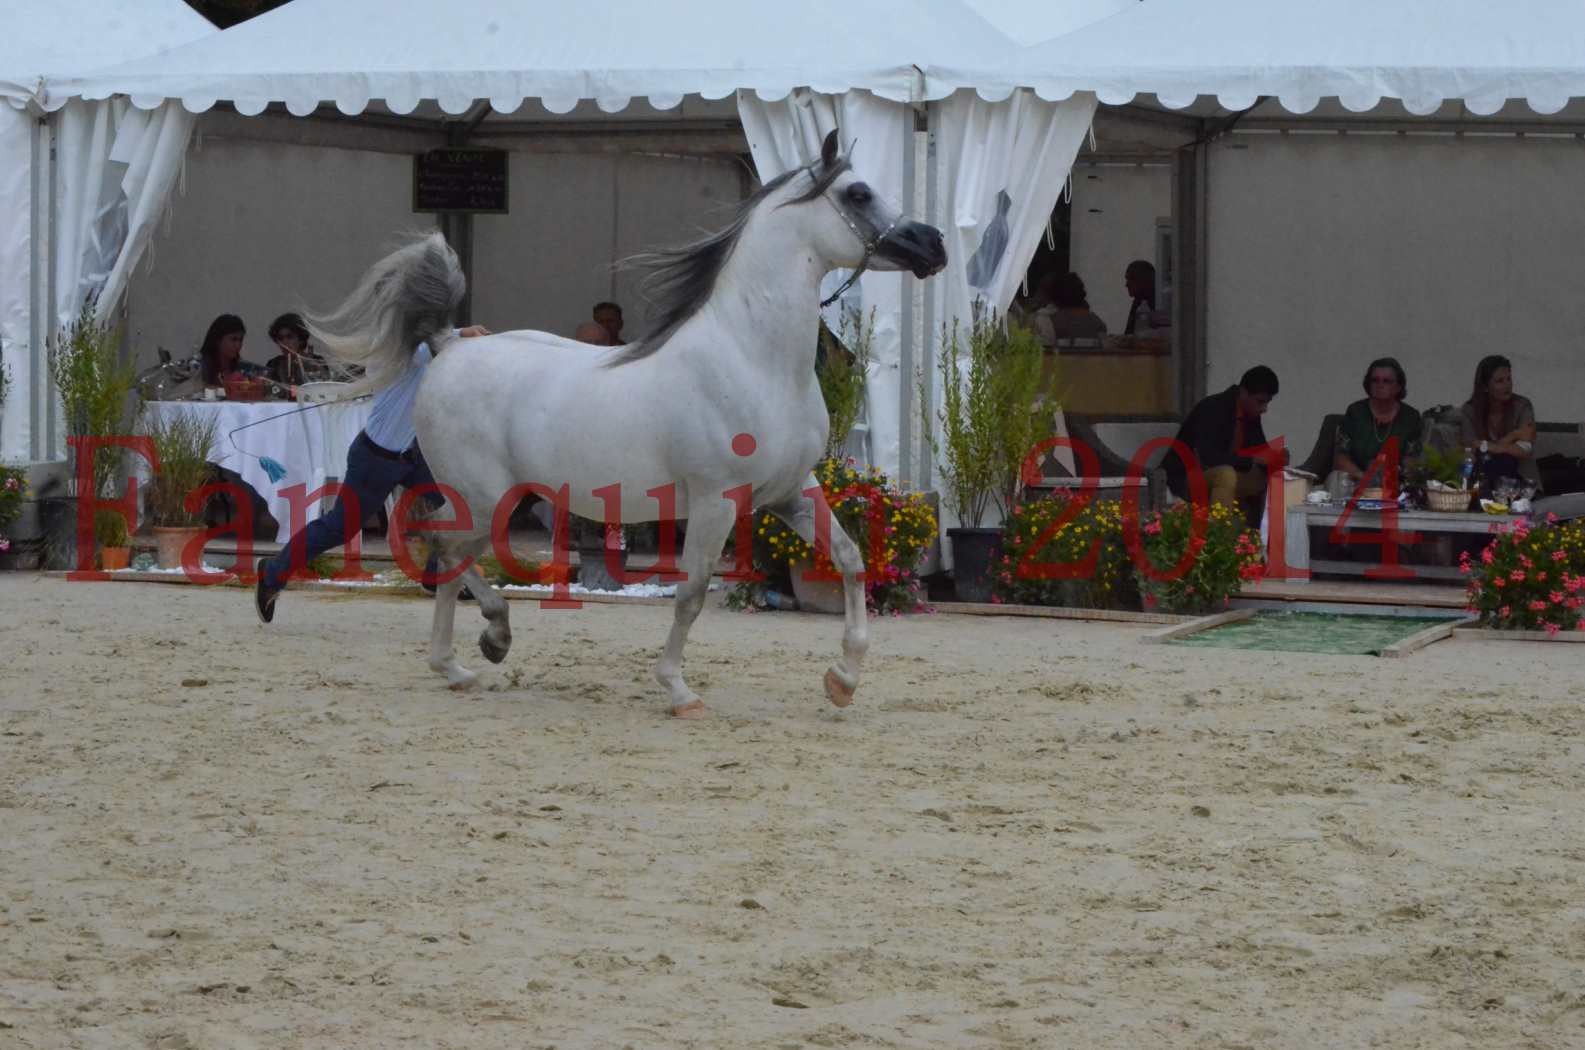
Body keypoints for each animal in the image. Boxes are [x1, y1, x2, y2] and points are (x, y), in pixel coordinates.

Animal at [312, 131, 938, 720]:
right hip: (485, 498)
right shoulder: (716, 501)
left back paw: (468, 659)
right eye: (858, 194)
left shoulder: (792, 493)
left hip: (500, 497)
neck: (751, 358)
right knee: (444, 545)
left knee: (446, 549)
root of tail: (448, 345)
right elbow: (691, 594)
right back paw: (475, 648)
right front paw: (679, 691)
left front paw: (843, 679)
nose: (932, 244)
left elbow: (852, 561)